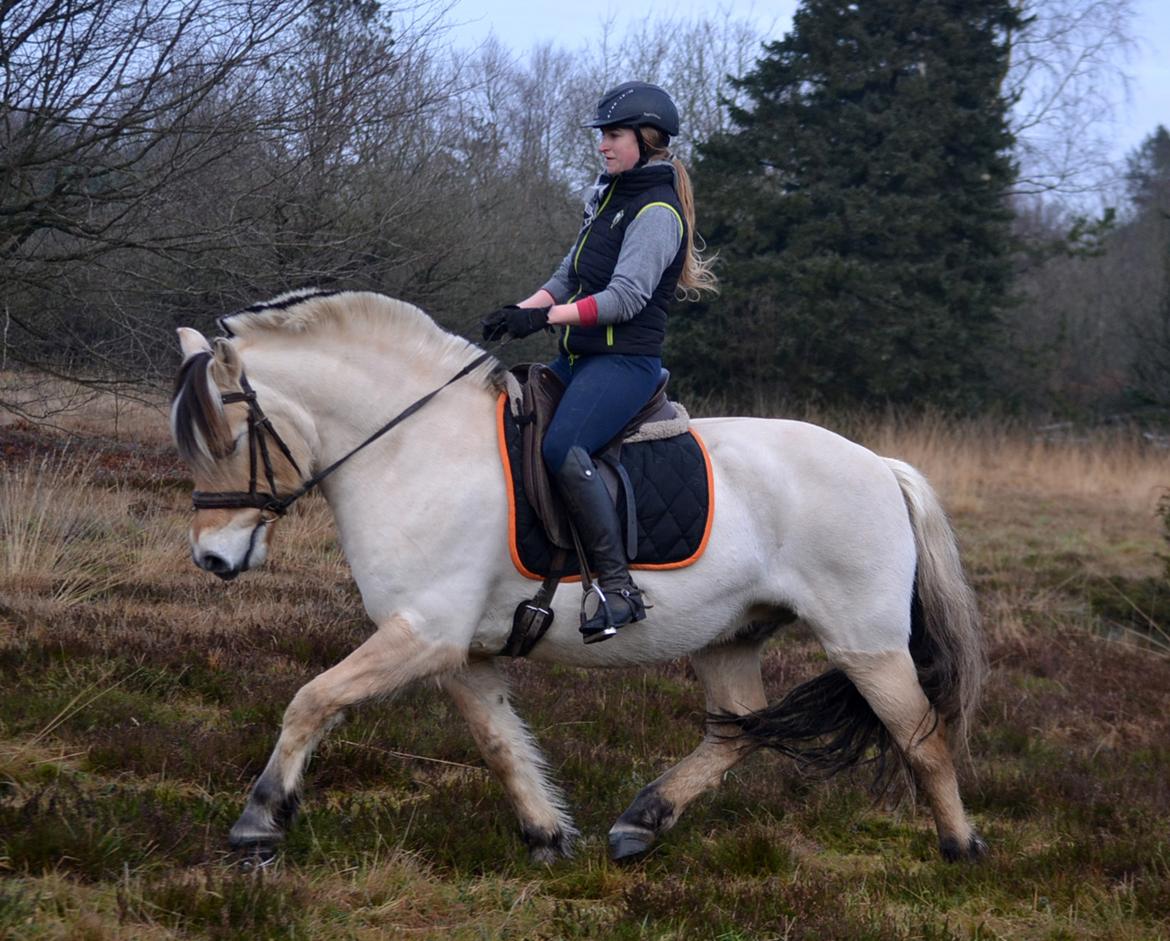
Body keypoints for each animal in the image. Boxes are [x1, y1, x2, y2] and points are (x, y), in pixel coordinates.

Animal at [170, 289, 987, 866]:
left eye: (229, 439)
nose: (212, 560)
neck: (412, 447)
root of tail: (880, 465)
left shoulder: (423, 633)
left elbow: (312, 700)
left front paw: (259, 820)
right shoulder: (457, 649)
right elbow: (498, 741)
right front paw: (546, 833)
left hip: (864, 641)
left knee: (921, 736)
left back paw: (960, 849)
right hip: (730, 635)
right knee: (735, 730)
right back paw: (641, 824)